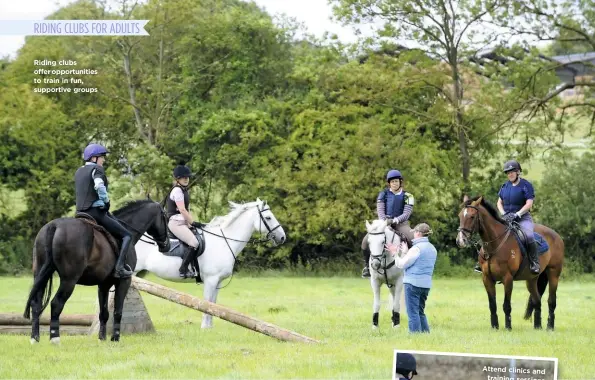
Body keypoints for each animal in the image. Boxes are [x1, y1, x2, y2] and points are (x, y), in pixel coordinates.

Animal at [22, 200, 169, 342]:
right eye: (165, 218)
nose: (166, 245)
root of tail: (54, 226)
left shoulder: (103, 285)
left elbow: (104, 313)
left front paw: (102, 338)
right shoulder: (124, 281)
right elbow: (118, 311)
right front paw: (115, 338)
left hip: (41, 275)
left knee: (36, 304)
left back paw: (35, 338)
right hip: (69, 280)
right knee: (56, 304)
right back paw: (55, 338)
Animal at [458, 197, 564, 332]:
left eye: (471, 216)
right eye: (460, 215)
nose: (460, 241)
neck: (495, 244)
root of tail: (556, 236)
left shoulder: (507, 279)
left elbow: (506, 305)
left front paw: (508, 327)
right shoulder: (487, 279)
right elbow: (492, 305)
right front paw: (494, 327)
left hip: (553, 274)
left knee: (551, 301)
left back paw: (550, 327)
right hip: (532, 279)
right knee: (537, 300)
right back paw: (537, 327)